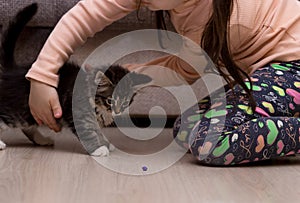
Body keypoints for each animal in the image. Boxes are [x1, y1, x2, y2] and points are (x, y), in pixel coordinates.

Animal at [0, 3, 150, 155]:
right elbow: (87, 133)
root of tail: (12, 70)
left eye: (125, 101)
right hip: (18, 109)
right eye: (110, 100)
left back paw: (41, 139)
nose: (118, 112)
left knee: (27, 127)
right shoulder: (77, 114)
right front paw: (98, 149)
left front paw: (105, 143)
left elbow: (98, 131)